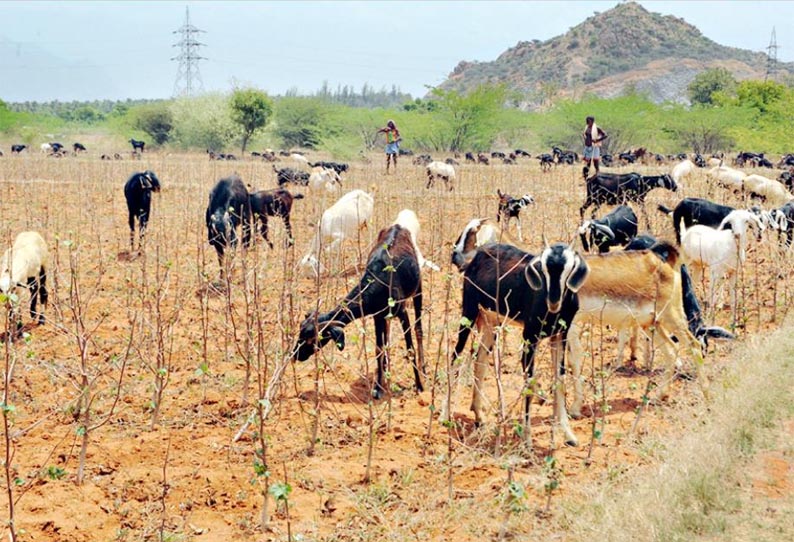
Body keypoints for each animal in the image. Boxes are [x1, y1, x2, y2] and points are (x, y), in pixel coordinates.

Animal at [290, 224, 424, 400]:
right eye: (300, 332)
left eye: (313, 339)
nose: (295, 356)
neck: (378, 282)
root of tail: (398, 226)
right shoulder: (377, 315)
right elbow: (379, 348)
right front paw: (378, 387)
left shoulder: (402, 312)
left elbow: (410, 348)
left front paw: (419, 385)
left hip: (418, 288)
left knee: (419, 329)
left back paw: (423, 368)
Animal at [440, 244, 588, 448]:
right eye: (543, 268)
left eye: (569, 267)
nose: (553, 301)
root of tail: (479, 254)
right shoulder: (530, 336)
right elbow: (530, 384)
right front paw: (527, 440)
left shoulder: (559, 336)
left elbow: (560, 381)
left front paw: (569, 435)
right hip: (469, 313)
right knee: (456, 356)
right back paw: (444, 416)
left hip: (490, 322)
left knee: (480, 361)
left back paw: (479, 417)